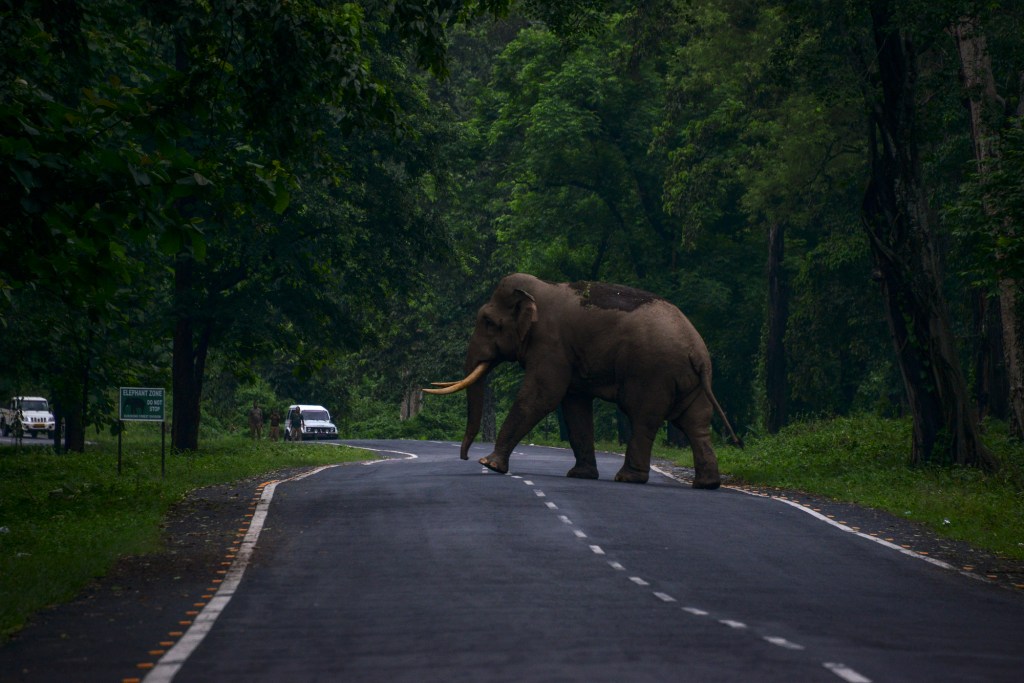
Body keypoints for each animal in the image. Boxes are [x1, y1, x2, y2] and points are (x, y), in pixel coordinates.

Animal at [423, 274, 745, 489]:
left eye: (489, 322)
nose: (465, 457)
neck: (541, 288)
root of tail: (697, 351)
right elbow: (574, 403)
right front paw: (580, 475)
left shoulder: (551, 343)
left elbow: (542, 395)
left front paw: (489, 464)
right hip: (689, 380)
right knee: (695, 422)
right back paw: (707, 484)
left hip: (653, 373)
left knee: (643, 417)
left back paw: (627, 478)